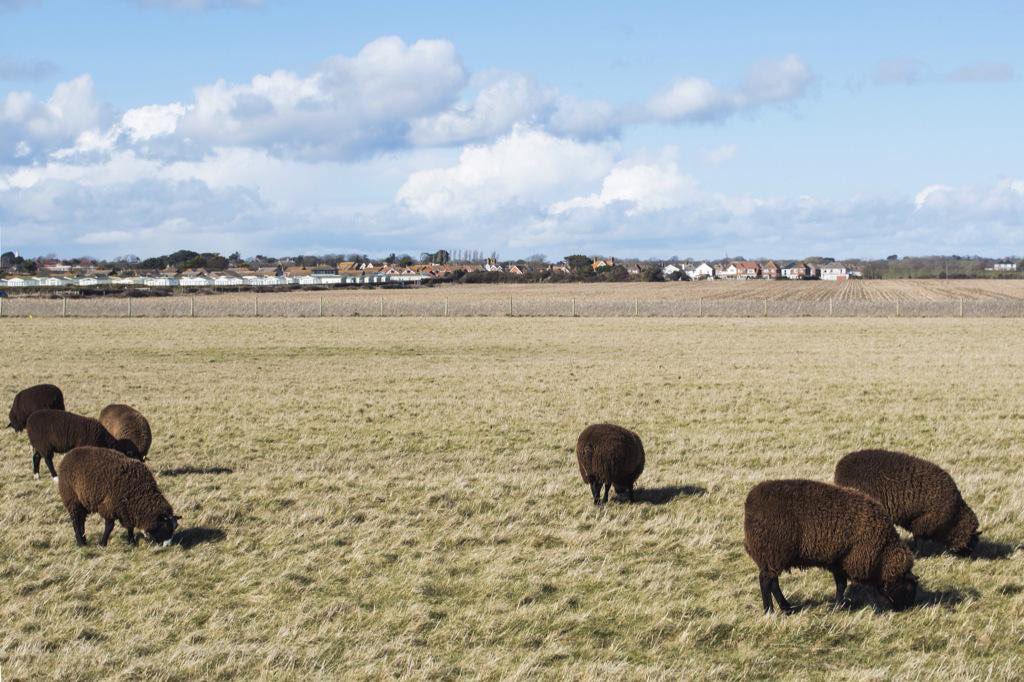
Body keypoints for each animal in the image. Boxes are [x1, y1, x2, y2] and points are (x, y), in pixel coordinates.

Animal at [744, 479, 918, 613]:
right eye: (909, 588)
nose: (906, 610)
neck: (883, 552)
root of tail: (749, 503)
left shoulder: (838, 561)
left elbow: (841, 585)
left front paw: (838, 605)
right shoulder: (850, 560)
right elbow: (845, 585)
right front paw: (840, 606)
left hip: (771, 557)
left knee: (773, 582)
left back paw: (786, 608)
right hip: (773, 552)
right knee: (765, 581)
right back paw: (769, 611)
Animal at [835, 449, 980, 556]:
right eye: (972, 540)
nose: (971, 557)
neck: (955, 517)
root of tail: (840, 466)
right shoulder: (923, 522)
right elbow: (918, 539)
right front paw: (917, 553)